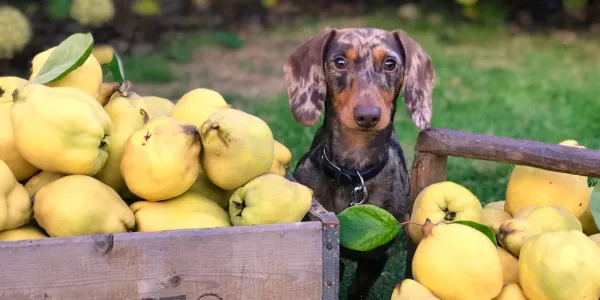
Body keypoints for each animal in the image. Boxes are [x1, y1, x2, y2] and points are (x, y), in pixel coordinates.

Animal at [284, 28, 434, 300]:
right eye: (339, 61)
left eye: (390, 63)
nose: (367, 115)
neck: (354, 172)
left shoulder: (375, 258)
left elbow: (358, 290)